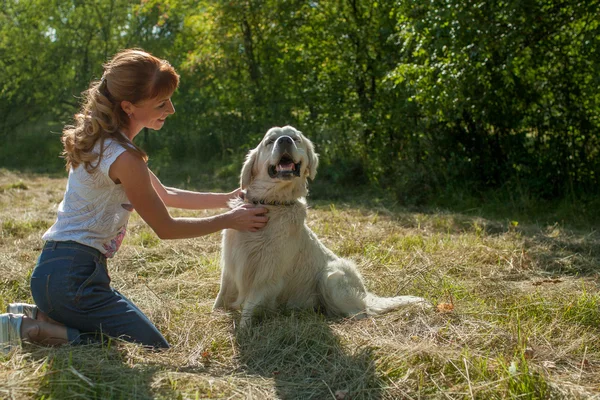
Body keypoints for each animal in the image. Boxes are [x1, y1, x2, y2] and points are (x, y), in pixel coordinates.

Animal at [213, 126, 428, 326]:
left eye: (296, 138)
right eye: (270, 141)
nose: (285, 140)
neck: (271, 203)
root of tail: (366, 295)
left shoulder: (268, 274)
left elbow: (250, 306)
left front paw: (244, 331)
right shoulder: (230, 266)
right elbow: (221, 296)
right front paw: (214, 314)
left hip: (330, 277)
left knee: (361, 313)